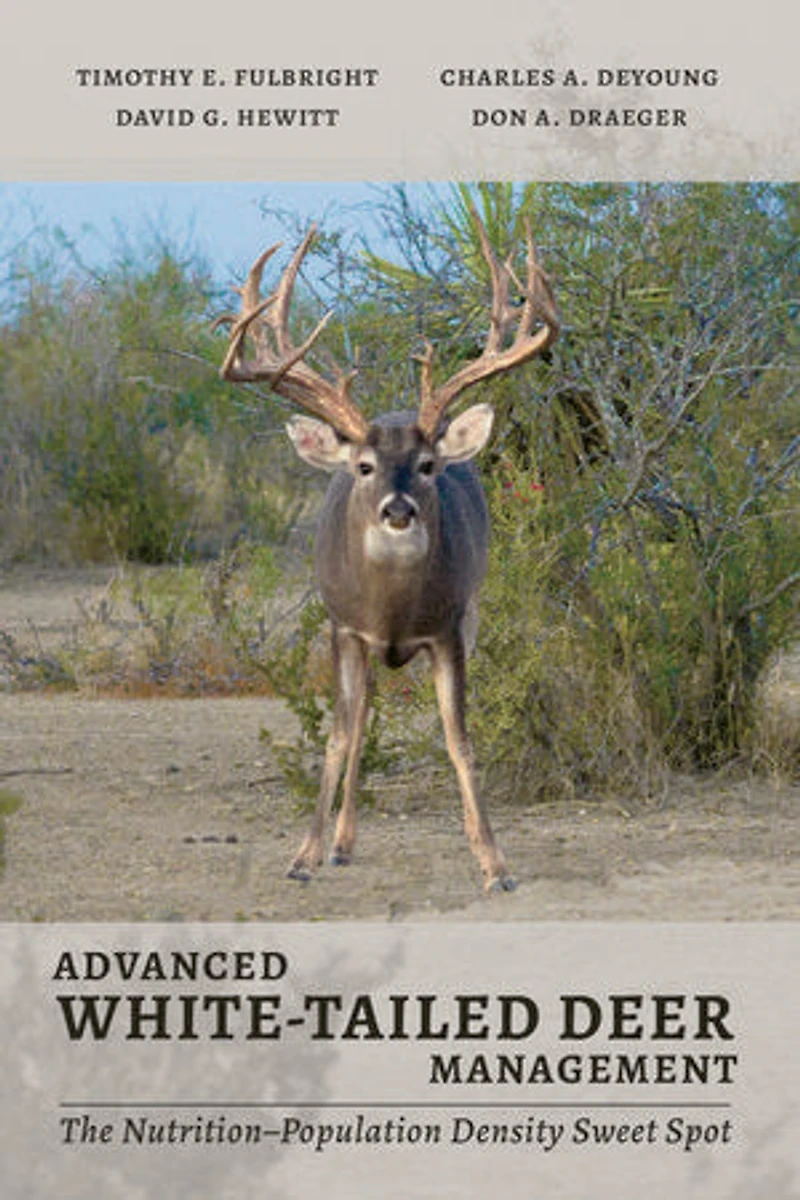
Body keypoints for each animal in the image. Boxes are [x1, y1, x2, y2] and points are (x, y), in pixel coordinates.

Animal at [217, 204, 558, 893]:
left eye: (427, 465)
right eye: (365, 466)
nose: (398, 511)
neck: (395, 611)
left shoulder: (450, 629)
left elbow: (459, 740)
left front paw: (494, 863)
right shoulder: (344, 627)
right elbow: (338, 736)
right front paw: (303, 856)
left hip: (472, 612)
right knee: (361, 714)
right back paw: (341, 843)